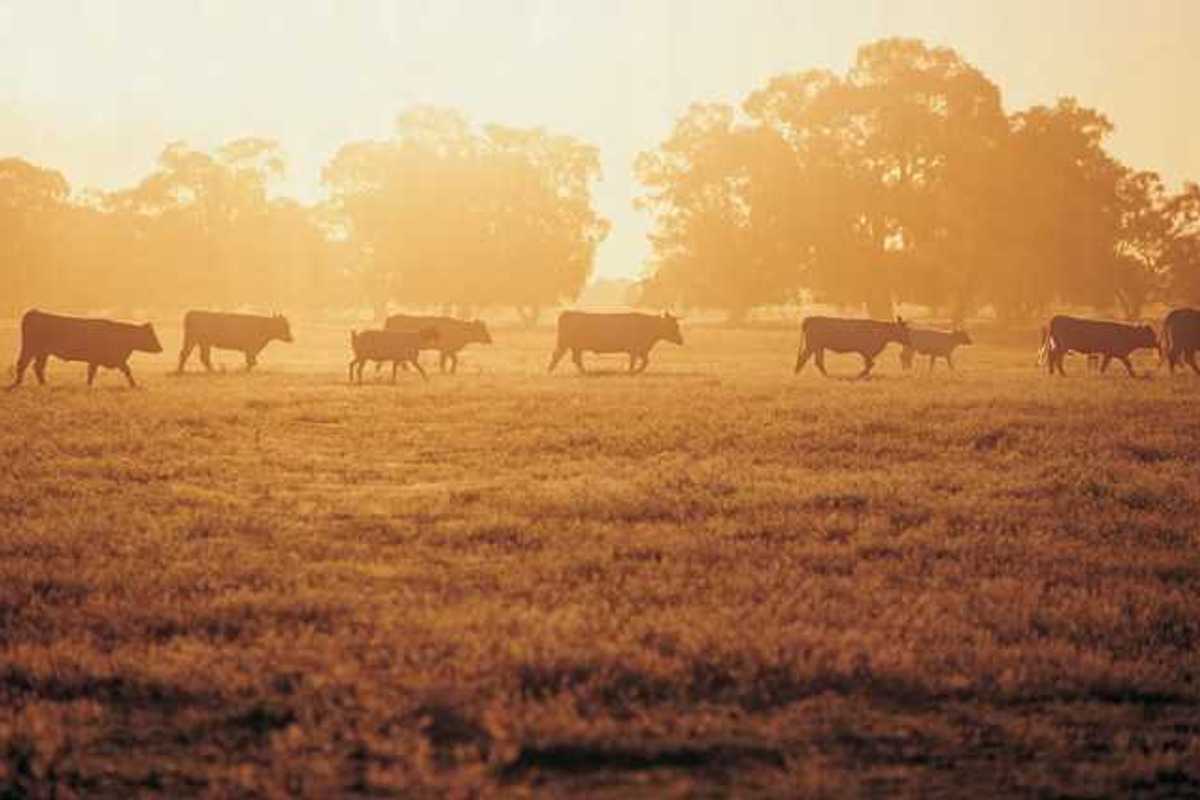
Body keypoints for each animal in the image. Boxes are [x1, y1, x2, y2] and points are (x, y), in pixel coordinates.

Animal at [9, 309, 163, 389]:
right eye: (150, 335)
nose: (160, 348)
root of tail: (34, 312)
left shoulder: (115, 360)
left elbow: (125, 370)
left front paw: (134, 385)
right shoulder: (98, 359)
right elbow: (93, 372)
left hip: (42, 352)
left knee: (37, 367)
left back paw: (43, 384)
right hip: (30, 348)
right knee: (23, 364)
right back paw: (18, 383)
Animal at [548, 311, 683, 374]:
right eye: (674, 326)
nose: (681, 340)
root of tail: (567, 312)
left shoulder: (641, 350)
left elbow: (645, 361)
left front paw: (634, 371)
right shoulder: (635, 349)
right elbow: (635, 362)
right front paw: (631, 371)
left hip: (575, 347)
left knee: (576, 359)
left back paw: (584, 372)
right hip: (564, 344)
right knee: (557, 356)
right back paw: (550, 371)